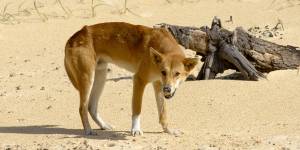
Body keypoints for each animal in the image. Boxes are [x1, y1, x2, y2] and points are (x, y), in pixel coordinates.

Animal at [64, 22, 198, 136]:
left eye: (177, 74)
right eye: (163, 72)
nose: (167, 89)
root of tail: (74, 36)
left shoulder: (158, 84)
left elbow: (163, 113)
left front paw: (168, 130)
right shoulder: (139, 80)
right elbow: (137, 109)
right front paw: (136, 129)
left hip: (101, 77)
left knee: (91, 107)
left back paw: (104, 125)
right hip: (88, 78)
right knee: (82, 108)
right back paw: (88, 130)